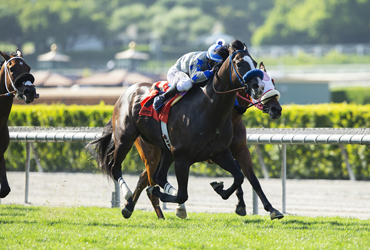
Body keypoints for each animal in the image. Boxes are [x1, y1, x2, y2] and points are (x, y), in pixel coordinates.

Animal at [88, 39, 264, 217]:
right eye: (239, 63)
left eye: (255, 62)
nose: (259, 86)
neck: (208, 109)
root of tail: (128, 90)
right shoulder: (182, 158)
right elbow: (182, 195)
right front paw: (164, 196)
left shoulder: (219, 152)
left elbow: (239, 176)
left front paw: (219, 188)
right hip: (126, 139)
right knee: (115, 168)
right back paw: (128, 194)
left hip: (165, 149)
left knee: (158, 176)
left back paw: (133, 205)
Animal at [124, 61, 284, 220]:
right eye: (260, 86)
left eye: (273, 83)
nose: (276, 109)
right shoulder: (213, 154)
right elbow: (238, 171)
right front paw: (234, 198)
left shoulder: (240, 149)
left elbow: (252, 178)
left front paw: (271, 209)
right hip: (153, 153)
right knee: (147, 177)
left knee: (147, 177)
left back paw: (132, 207)